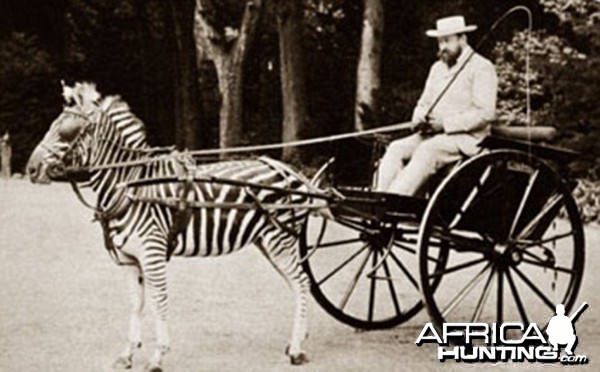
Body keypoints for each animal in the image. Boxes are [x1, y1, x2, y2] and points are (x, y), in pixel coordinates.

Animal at [27, 82, 326, 372]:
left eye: (66, 131)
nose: (30, 169)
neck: (130, 186)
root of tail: (286, 169)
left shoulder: (152, 253)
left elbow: (159, 300)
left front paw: (158, 356)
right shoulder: (128, 259)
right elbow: (136, 304)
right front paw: (127, 353)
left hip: (280, 239)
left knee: (302, 282)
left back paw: (297, 349)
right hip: (268, 241)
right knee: (296, 284)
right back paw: (298, 340)